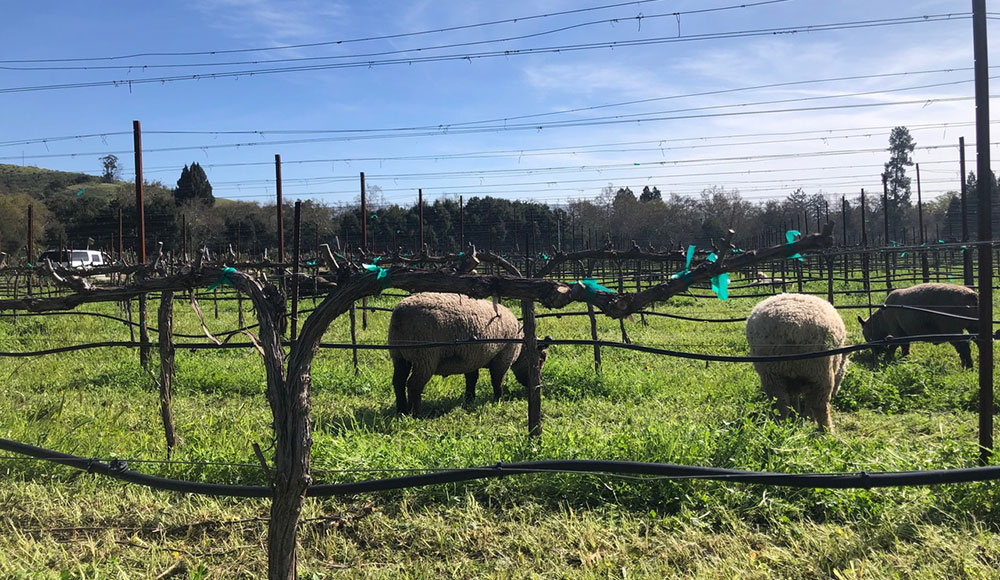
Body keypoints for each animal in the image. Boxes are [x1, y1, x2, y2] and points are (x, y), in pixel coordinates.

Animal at [387, 293, 548, 415]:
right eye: (542, 358)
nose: (537, 383)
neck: (521, 347)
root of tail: (399, 316)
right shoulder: (503, 357)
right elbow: (497, 381)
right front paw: (498, 400)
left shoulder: (472, 358)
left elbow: (472, 379)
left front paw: (470, 399)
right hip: (425, 356)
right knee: (414, 384)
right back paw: (416, 413)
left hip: (399, 355)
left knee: (398, 381)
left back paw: (402, 410)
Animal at [746, 293, 849, 432]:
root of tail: (791, 326)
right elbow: (809, 403)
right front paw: (807, 417)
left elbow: (794, 399)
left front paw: (797, 415)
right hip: (820, 371)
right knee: (820, 405)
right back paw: (828, 431)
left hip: (771, 373)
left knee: (780, 402)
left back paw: (782, 425)